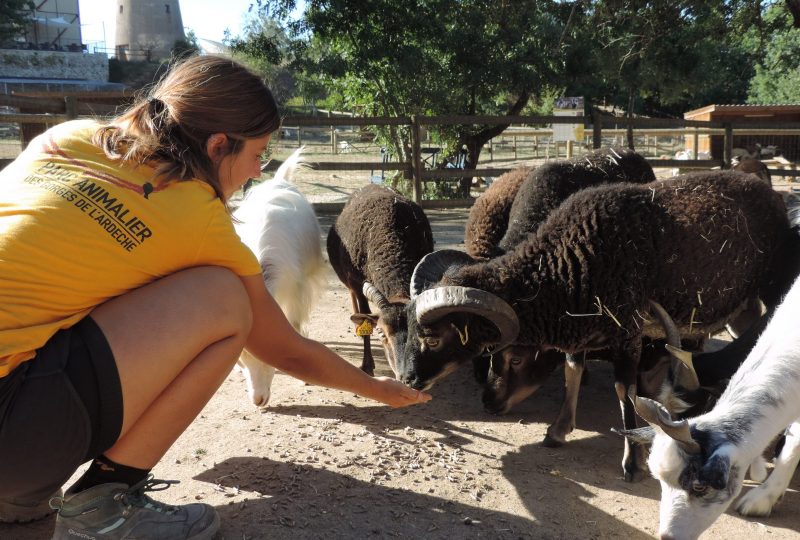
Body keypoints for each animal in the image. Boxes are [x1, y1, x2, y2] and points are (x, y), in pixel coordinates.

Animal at [233, 148, 326, 404]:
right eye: (242, 363)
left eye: (269, 361)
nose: (258, 400)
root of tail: (278, 180)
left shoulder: (296, 290)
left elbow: (293, 324)